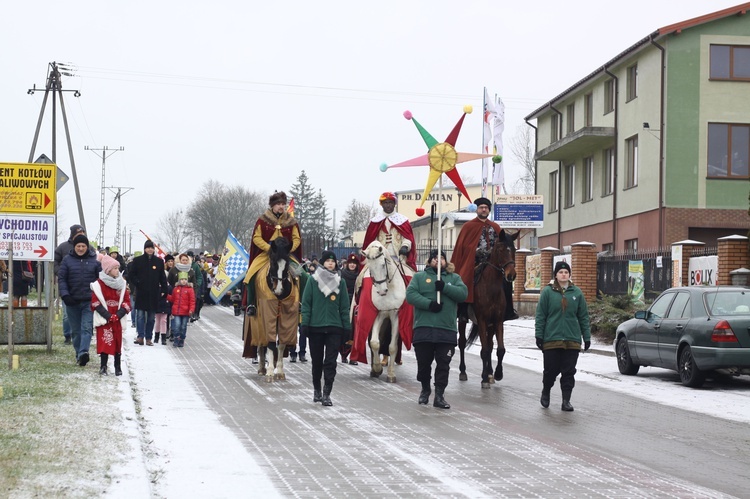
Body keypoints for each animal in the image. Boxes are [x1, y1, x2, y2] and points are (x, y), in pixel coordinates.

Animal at [362, 241, 408, 382]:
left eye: (383, 265)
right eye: (370, 268)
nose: (382, 291)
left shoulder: (395, 314)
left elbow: (392, 347)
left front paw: (391, 374)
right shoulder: (380, 313)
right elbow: (374, 342)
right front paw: (377, 368)